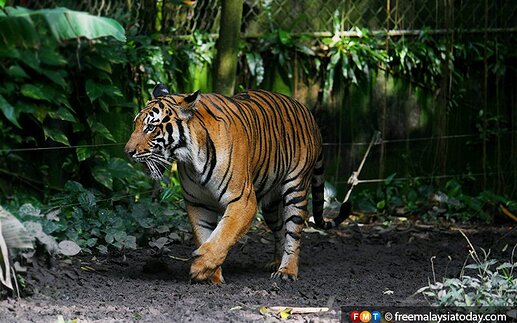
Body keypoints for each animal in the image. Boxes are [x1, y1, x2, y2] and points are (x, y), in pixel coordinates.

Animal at [125, 85, 350, 284]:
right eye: (135, 124)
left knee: (293, 233)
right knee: (280, 231)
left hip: (296, 188)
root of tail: (308, 112)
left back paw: (286, 271)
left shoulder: (243, 201)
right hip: (270, 203)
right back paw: (276, 263)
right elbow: (205, 235)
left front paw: (201, 266)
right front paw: (211, 276)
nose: (127, 151)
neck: (191, 159)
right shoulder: (198, 204)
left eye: (150, 127)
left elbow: (223, 235)